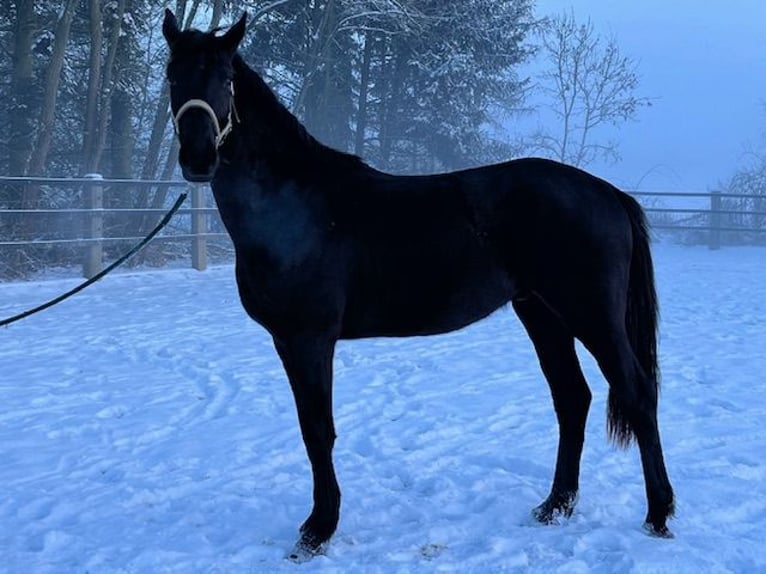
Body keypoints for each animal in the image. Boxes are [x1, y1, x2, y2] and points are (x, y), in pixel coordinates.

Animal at [164, 10, 680, 564]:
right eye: (173, 76)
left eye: (225, 79)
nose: (198, 158)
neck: (294, 207)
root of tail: (609, 194)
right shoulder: (289, 342)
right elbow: (312, 430)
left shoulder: (309, 339)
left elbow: (317, 431)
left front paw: (318, 529)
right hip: (543, 313)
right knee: (572, 398)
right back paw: (555, 505)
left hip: (591, 315)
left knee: (637, 393)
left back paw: (657, 514)